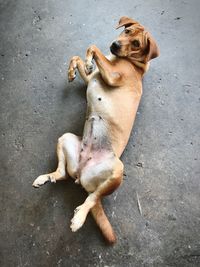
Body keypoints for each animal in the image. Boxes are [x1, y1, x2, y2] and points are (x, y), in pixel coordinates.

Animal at [32, 15, 159, 244]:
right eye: (127, 31)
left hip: (117, 170)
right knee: (62, 174)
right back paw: (47, 177)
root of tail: (82, 174)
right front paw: (75, 69)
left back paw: (79, 217)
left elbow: (92, 46)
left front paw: (90, 59)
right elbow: (78, 58)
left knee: (92, 198)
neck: (132, 62)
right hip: (65, 138)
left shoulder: (113, 76)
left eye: (137, 43)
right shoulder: (93, 78)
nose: (115, 45)